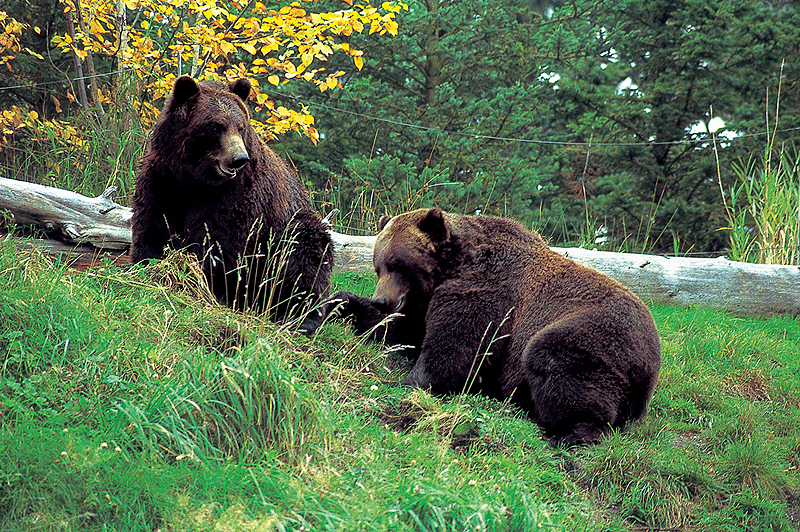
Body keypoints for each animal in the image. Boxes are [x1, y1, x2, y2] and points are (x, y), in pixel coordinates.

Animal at [130, 75, 333, 330]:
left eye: (240, 126)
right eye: (216, 126)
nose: (239, 158)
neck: (194, 178)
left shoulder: (233, 196)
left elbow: (216, 242)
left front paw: (202, 281)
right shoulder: (162, 180)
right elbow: (152, 223)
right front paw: (145, 264)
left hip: (292, 227)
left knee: (305, 255)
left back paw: (300, 317)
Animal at [312, 208, 662, 445]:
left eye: (399, 264)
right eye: (378, 266)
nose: (383, 299)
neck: (449, 266)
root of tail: (651, 366)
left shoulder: (486, 290)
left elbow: (455, 348)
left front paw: (412, 382)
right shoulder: (422, 303)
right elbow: (404, 331)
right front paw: (340, 304)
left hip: (597, 336)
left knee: (554, 359)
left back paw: (569, 432)